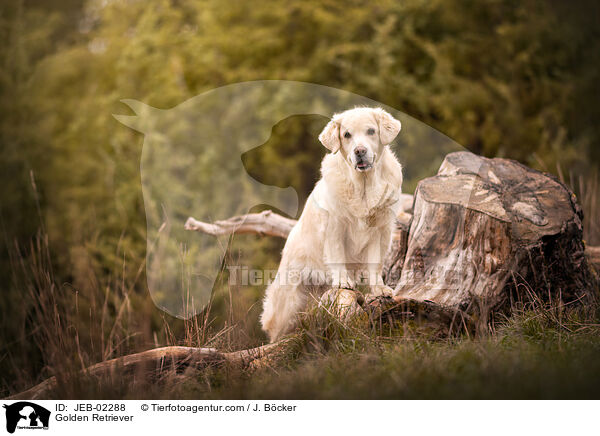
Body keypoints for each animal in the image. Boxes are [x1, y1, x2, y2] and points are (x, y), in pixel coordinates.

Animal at [258, 107, 404, 342]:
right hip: (288, 302)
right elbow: (337, 256)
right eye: (347, 135)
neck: (363, 185)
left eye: (371, 131)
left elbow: (375, 263)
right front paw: (343, 281)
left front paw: (380, 289)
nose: (360, 151)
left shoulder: (379, 230)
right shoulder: (335, 227)